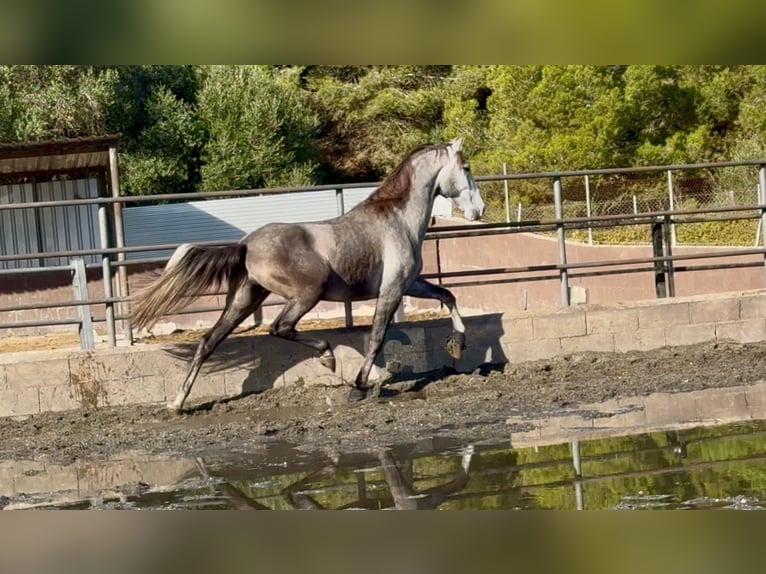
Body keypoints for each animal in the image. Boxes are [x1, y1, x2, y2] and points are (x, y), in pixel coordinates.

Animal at [130, 137, 485, 413]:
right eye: (466, 168)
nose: (479, 210)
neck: (397, 219)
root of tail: (246, 244)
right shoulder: (392, 290)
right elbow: (376, 338)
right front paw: (358, 387)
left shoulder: (411, 284)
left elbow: (448, 295)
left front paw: (458, 345)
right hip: (306, 294)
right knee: (279, 327)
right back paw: (327, 358)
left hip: (245, 299)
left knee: (209, 342)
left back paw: (178, 403)